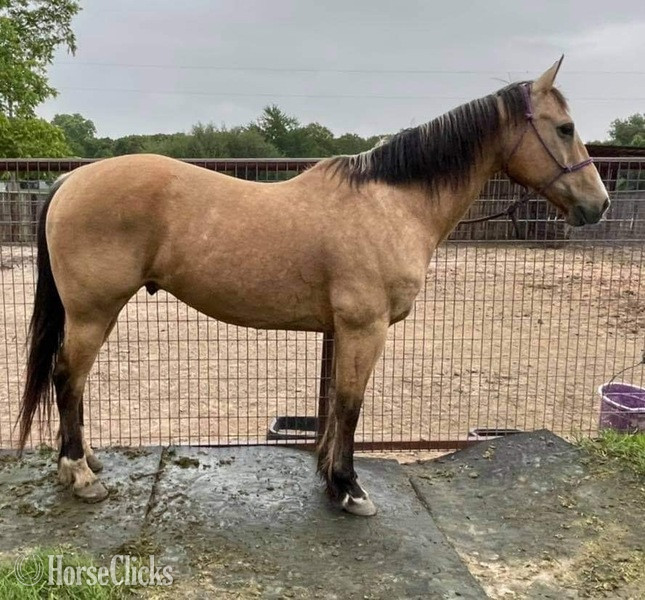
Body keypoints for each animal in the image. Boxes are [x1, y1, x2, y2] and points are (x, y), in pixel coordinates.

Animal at [18, 57, 609, 515]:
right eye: (564, 127)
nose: (598, 205)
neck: (392, 203)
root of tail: (70, 179)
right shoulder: (365, 329)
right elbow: (349, 405)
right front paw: (349, 489)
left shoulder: (344, 332)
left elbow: (335, 405)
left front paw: (330, 479)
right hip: (94, 312)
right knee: (68, 378)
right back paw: (82, 476)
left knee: (72, 382)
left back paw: (87, 461)